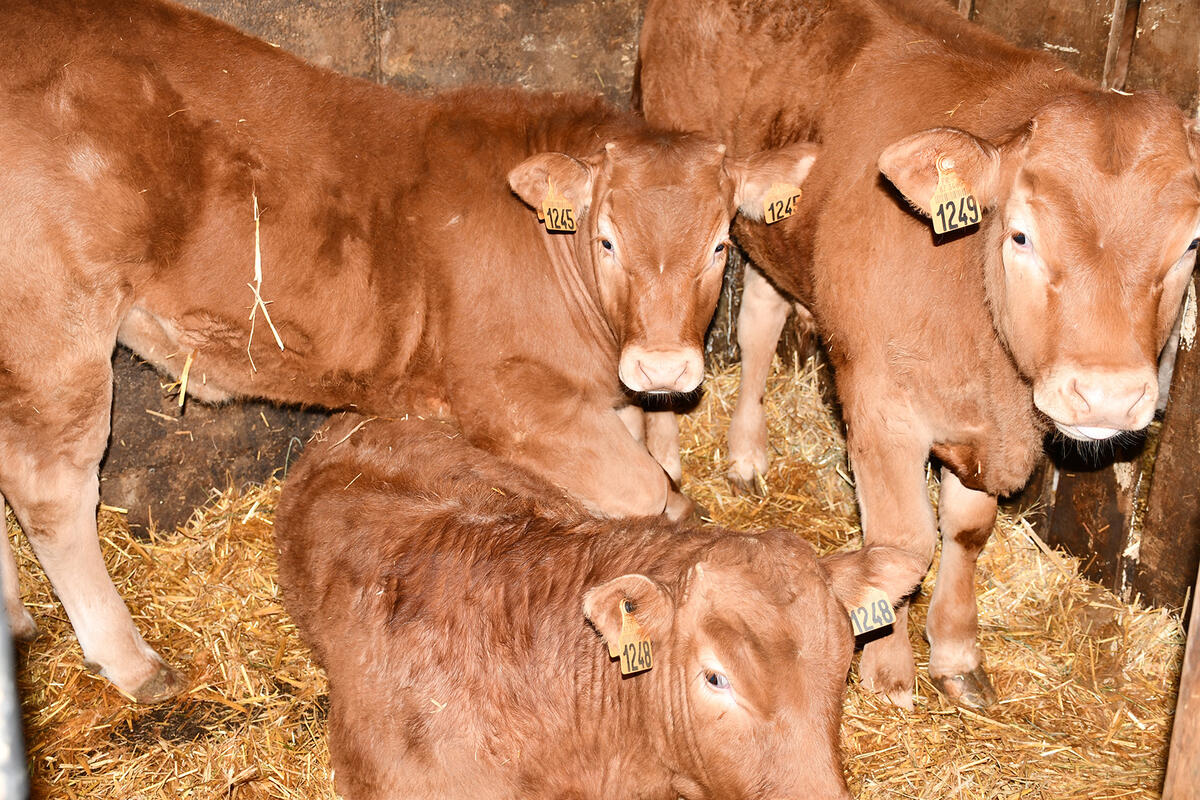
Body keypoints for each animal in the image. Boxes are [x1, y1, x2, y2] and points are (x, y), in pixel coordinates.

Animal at [0, 0, 816, 700]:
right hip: (57, 324)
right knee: (51, 488)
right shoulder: (508, 399)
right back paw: (132, 660)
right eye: (608, 239)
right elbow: (652, 494)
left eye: (720, 243)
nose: (663, 368)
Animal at [643, 0, 1200, 705]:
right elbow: (904, 543)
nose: (1108, 395)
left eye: (1190, 245)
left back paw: (747, 455)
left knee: (761, 322)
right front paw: (888, 673)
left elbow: (966, 530)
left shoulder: (980, 425)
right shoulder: (881, 407)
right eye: (1022, 235)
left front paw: (957, 656)